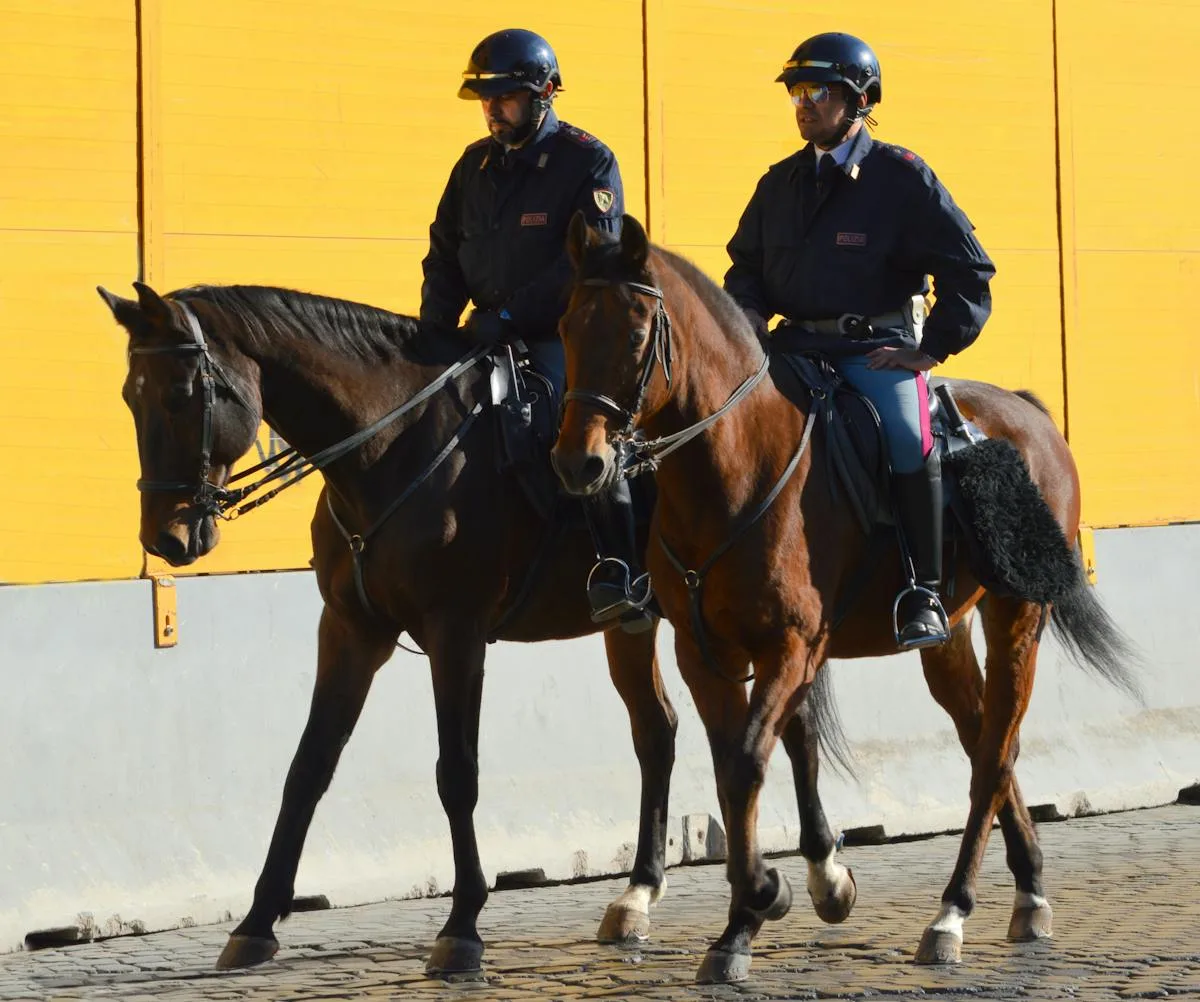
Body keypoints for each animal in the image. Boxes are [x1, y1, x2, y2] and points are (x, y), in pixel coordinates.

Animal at [97, 279, 852, 976]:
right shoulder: (350, 631)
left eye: (182, 396)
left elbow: (457, 773)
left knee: (786, 729)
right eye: (131, 397)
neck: (392, 447)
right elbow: (308, 767)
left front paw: (461, 928)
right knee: (659, 732)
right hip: (638, 625)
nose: (165, 539)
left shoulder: (454, 634)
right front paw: (256, 923)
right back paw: (638, 896)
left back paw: (823, 877)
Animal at [550, 212, 1140, 983]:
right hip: (948, 637)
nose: (578, 463)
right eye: (566, 326)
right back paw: (1030, 894)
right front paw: (753, 913)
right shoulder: (703, 653)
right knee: (986, 739)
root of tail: (1030, 414)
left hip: (1018, 618)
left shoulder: (793, 647)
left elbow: (748, 761)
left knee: (993, 757)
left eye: (634, 333)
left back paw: (951, 915)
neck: (732, 470)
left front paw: (763, 901)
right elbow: (731, 767)